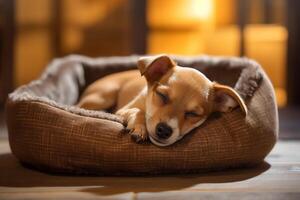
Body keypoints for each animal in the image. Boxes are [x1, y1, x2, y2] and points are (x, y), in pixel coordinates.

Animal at [78, 55, 248, 146]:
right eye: (161, 95)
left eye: (193, 114)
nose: (164, 130)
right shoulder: (122, 110)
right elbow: (138, 111)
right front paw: (139, 129)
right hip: (103, 96)